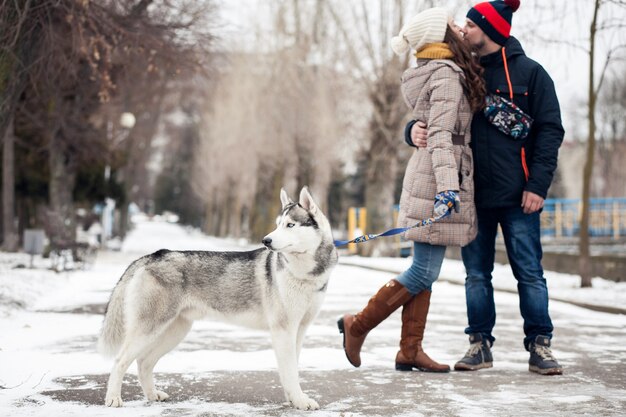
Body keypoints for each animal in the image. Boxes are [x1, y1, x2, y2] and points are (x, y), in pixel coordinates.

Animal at [98, 187, 336, 408]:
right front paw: (300, 401)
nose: (266, 240)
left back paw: (152, 395)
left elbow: (291, 369)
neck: (305, 274)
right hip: (150, 329)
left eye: (290, 225)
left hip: (174, 331)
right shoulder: (283, 330)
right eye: (279, 224)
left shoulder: (299, 330)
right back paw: (113, 398)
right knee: (120, 361)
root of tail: (153, 255)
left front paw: (293, 399)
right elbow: (291, 371)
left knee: (143, 362)